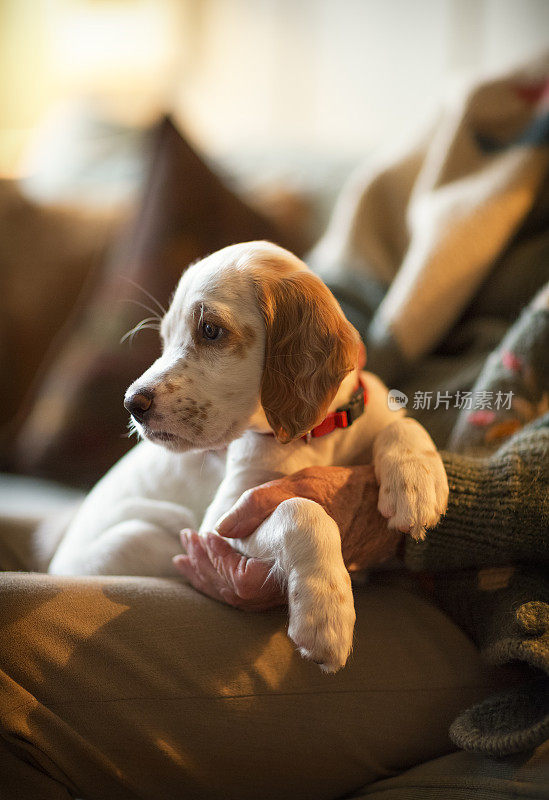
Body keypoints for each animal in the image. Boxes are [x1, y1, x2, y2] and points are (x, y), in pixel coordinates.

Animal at [49, 242, 448, 676]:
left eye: (210, 330)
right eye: (165, 337)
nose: (131, 404)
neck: (316, 435)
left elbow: (403, 423)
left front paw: (418, 488)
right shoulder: (222, 520)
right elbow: (299, 509)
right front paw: (324, 616)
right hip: (142, 535)